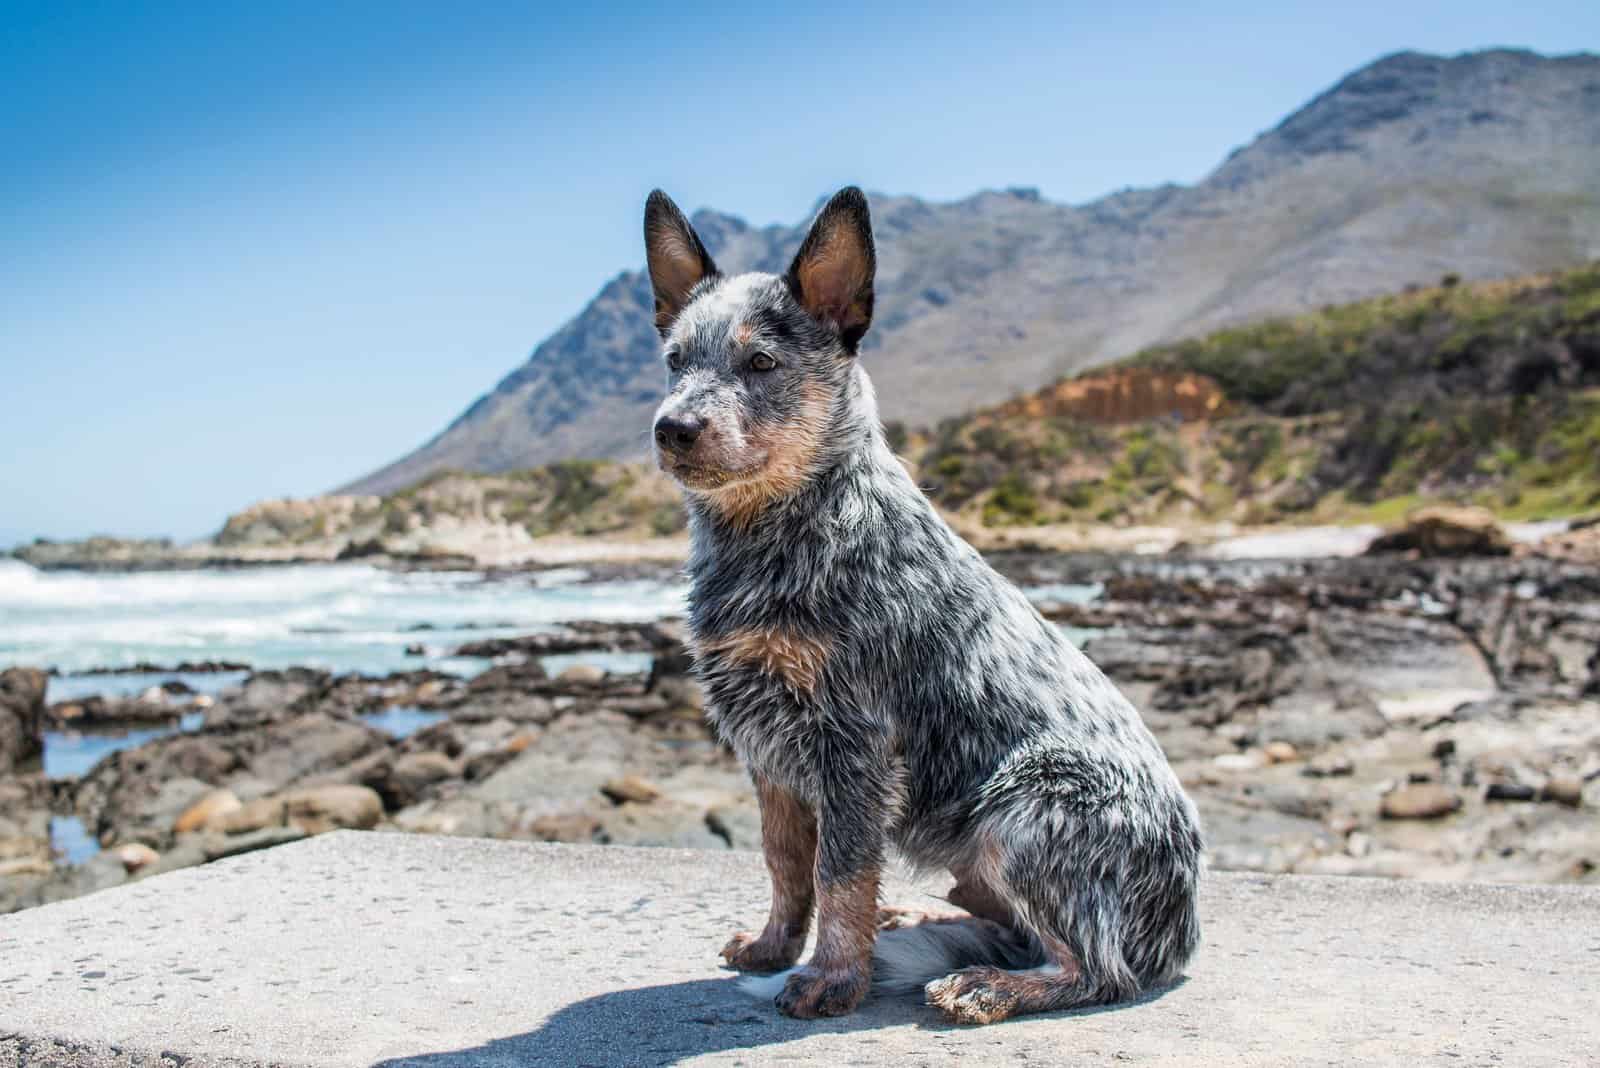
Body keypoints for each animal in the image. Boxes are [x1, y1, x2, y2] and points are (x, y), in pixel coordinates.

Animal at [643, 187, 1203, 1023]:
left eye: (761, 362)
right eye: (675, 362)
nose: (672, 427)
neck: (775, 534)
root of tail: (1186, 933)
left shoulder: (854, 743)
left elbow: (840, 872)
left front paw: (833, 976)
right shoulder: (766, 744)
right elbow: (785, 863)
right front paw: (777, 946)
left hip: (1022, 810)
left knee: (1098, 969)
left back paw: (988, 985)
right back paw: (920, 922)